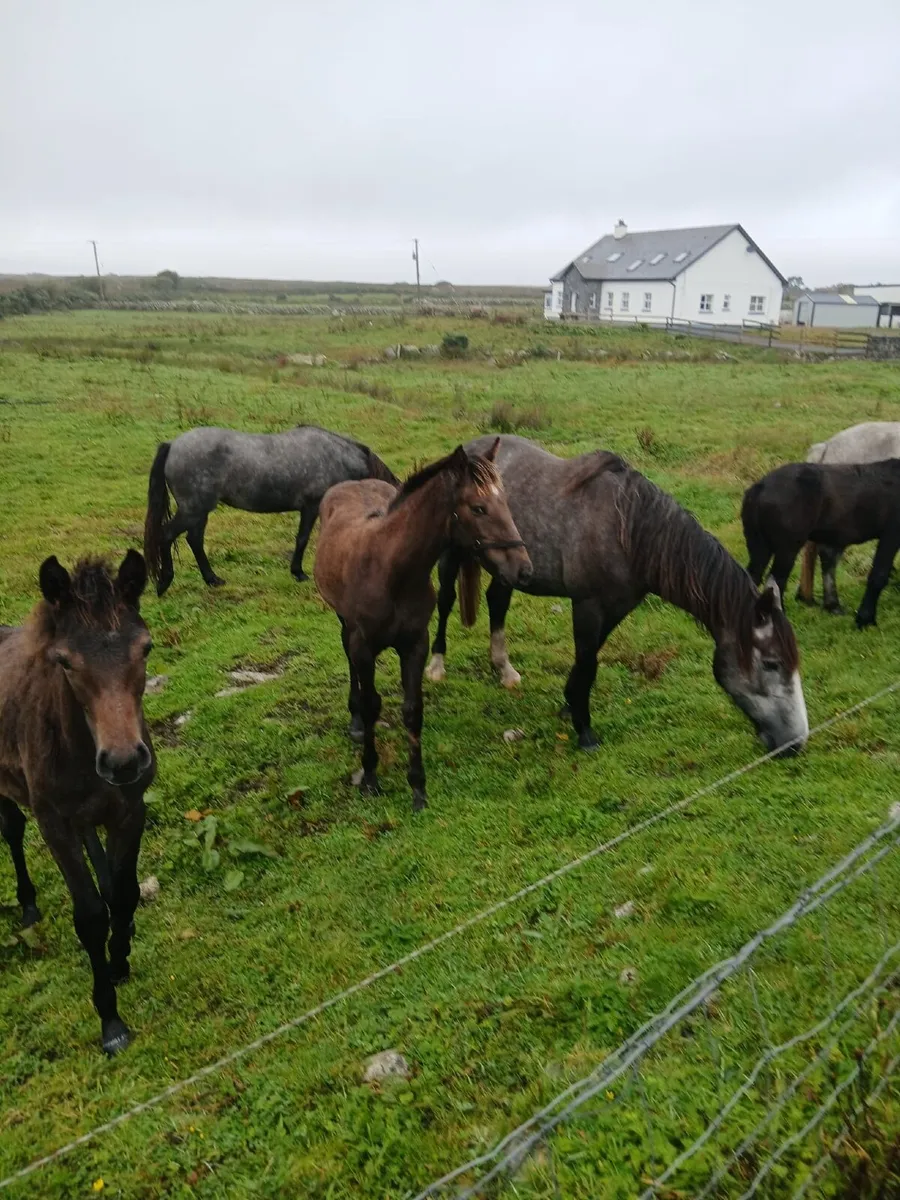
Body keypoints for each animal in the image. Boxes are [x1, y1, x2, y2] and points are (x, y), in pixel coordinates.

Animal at [0, 552, 155, 1055]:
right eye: (65, 662)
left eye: (145, 648)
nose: (124, 761)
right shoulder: (55, 825)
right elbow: (88, 915)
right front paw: (110, 1020)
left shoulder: (130, 811)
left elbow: (123, 895)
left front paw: (120, 960)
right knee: (11, 830)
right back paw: (28, 907)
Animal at [143, 425, 399, 596]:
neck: (336, 456)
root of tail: (173, 445)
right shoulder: (312, 507)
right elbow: (303, 539)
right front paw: (299, 572)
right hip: (193, 511)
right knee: (167, 535)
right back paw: (165, 582)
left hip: (199, 512)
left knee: (194, 540)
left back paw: (212, 579)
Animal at [314, 441, 532, 810]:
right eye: (478, 508)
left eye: (505, 502)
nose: (523, 569)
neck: (392, 571)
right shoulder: (365, 645)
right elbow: (372, 705)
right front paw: (370, 777)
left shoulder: (415, 644)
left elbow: (413, 710)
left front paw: (418, 787)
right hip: (345, 623)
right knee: (349, 658)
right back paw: (354, 722)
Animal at [426, 435, 808, 756]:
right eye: (771, 663)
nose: (797, 742)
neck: (629, 532)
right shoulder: (587, 605)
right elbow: (588, 662)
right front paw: (584, 730)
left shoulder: (618, 606)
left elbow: (589, 658)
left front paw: (569, 703)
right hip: (453, 556)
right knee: (445, 601)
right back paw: (437, 666)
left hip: (508, 566)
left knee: (497, 602)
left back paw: (504, 670)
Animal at [743, 459, 900, 628]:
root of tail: (760, 486)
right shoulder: (891, 534)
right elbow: (879, 574)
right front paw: (865, 619)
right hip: (787, 548)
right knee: (777, 581)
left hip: (760, 546)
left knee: (753, 576)